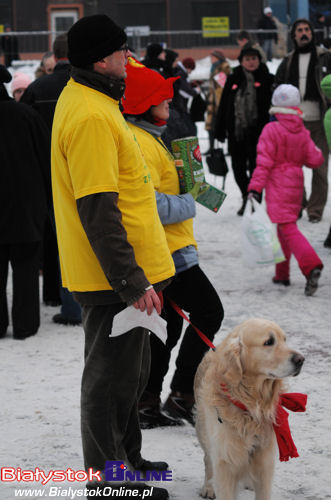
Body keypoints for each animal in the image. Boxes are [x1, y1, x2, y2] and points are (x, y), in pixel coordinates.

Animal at [195, 318, 306, 498]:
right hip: (203, 432)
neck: (251, 405)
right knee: (208, 459)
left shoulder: (264, 463)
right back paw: (208, 487)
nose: (301, 359)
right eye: (269, 342)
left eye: (285, 339)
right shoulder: (225, 461)